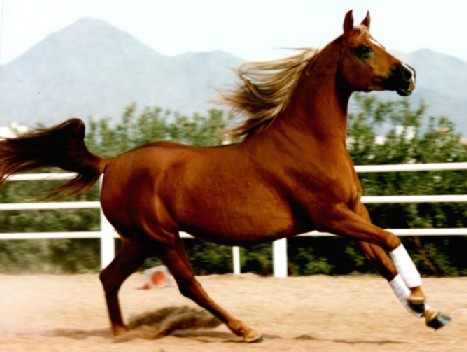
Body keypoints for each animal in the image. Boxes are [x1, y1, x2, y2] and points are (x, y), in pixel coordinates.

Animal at [1, 10, 452, 340]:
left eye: (379, 44)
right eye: (362, 50)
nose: (408, 76)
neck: (307, 141)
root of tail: (111, 164)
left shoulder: (353, 213)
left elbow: (383, 261)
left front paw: (429, 313)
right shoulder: (330, 217)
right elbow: (391, 241)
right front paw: (419, 300)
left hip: (138, 240)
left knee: (109, 277)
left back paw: (122, 332)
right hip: (162, 238)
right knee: (188, 285)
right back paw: (244, 329)